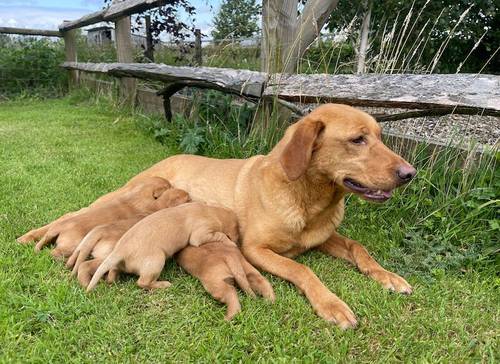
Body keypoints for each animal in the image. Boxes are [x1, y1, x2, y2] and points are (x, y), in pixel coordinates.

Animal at [31, 178, 180, 260]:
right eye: (169, 186)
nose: (176, 187)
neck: (137, 195)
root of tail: (57, 229)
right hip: (70, 245)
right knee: (54, 252)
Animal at [86, 203, 240, 292]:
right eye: (237, 229)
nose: (238, 240)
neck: (212, 210)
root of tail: (119, 252)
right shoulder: (200, 235)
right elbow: (219, 235)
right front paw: (230, 242)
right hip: (157, 260)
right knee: (142, 282)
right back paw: (164, 284)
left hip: (120, 264)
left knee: (113, 273)